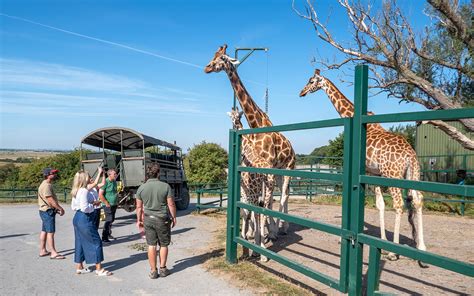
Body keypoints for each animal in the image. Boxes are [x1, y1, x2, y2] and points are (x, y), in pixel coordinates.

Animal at [204, 44, 296, 239]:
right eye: (213, 55)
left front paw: (268, 232)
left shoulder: (267, 164)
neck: (256, 124)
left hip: (288, 168)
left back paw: (282, 228)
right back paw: (277, 227)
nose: (206, 68)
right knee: (281, 195)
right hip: (278, 172)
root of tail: (293, 149)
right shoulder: (255, 166)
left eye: (222, 58)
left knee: (284, 195)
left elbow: (265, 201)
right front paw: (255, 231)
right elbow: (257, 199)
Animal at [302, 69, 428, 260]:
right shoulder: (374, 173)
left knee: (399, 204)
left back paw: (394, 251)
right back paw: (421, 247)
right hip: (412, 174)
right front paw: (382, 240)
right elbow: (380, 204)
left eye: (311, 81)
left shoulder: (367, 172)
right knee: (417, 200)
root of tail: (410, 156)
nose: (301, 92)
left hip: (392, 175)